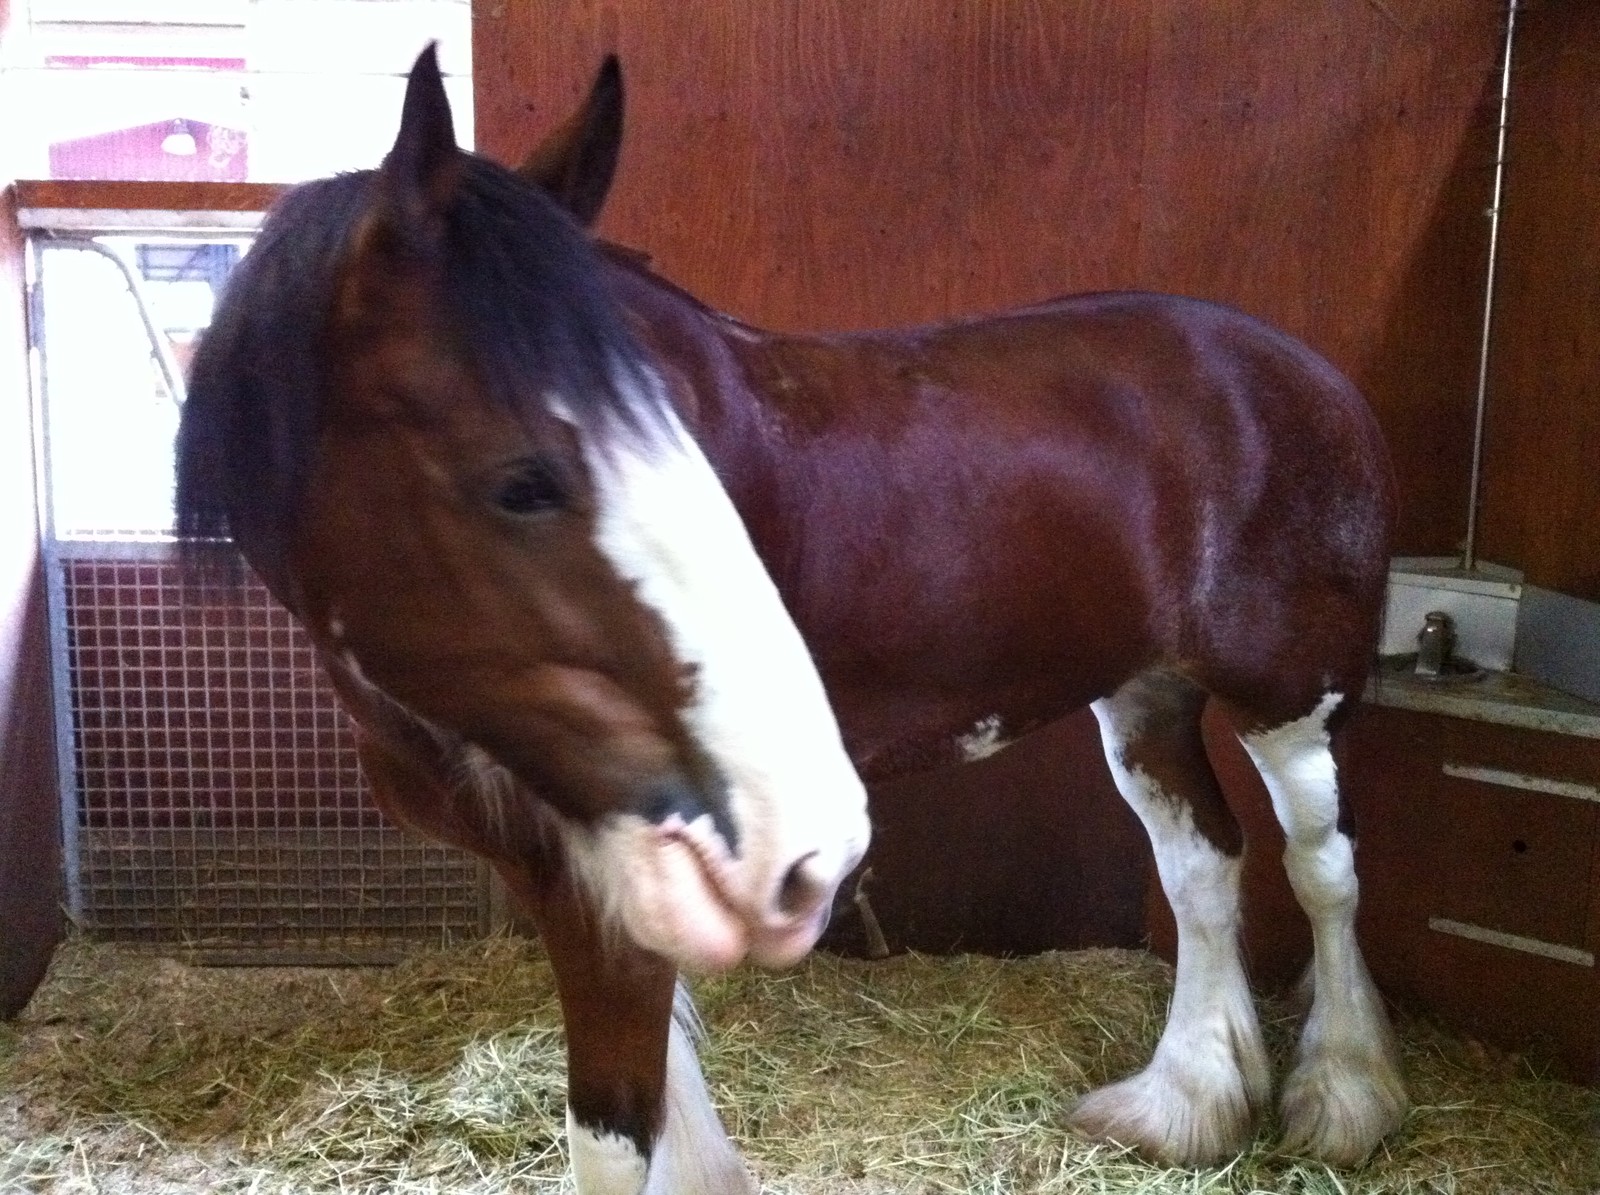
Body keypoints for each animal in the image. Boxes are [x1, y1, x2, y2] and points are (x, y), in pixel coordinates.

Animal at [175, 46, 1406, 1194]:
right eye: (524, 481)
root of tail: (1303, 374)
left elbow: (616, 1128)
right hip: (1145, 694)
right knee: (1203, 868)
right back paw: (1187, 1104)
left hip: (1290, 698)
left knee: (1322, 869)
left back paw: (1344, 1096)